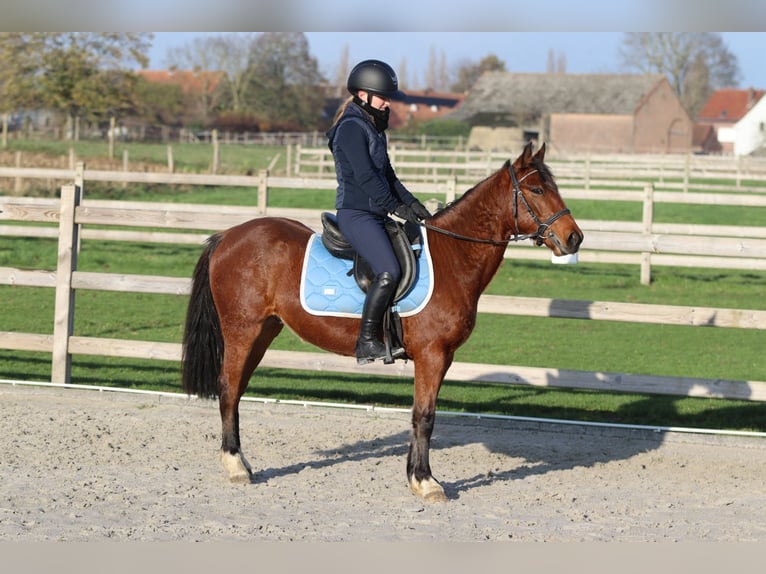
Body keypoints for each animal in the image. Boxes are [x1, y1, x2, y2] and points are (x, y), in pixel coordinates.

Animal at [181, 142, 583, 502]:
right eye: (536, 189)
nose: (574, 238)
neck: (454, 255)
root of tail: (228, 236)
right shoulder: (433, 355)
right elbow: (425, 416)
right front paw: (426, 481)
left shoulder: (441, 358)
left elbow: (419, 415)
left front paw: (414, 476)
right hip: (242, 330)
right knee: (228, 388)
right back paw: (236, 466)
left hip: (263, 332)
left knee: (236, 390)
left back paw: (242, 462)